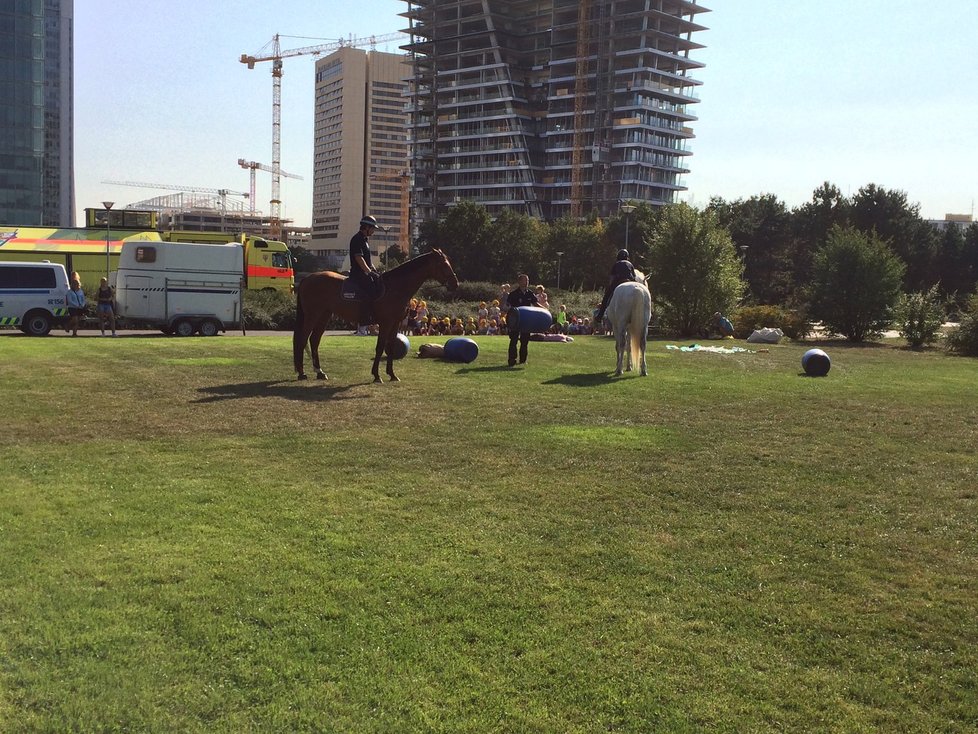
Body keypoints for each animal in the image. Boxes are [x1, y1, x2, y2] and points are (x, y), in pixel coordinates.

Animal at [292, 249, 460, 382]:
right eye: (444, 265)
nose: (455, 283)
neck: (395, 288)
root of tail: (308, 278)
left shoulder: (395, 323)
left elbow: (390, 347)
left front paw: (392, 374)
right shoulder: (385, 323)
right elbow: (380, 347)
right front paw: (377, 375)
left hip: (324, 316)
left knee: (314, 340)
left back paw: (319, 372)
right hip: (312, 315)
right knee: (303, 339)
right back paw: (302, 373)